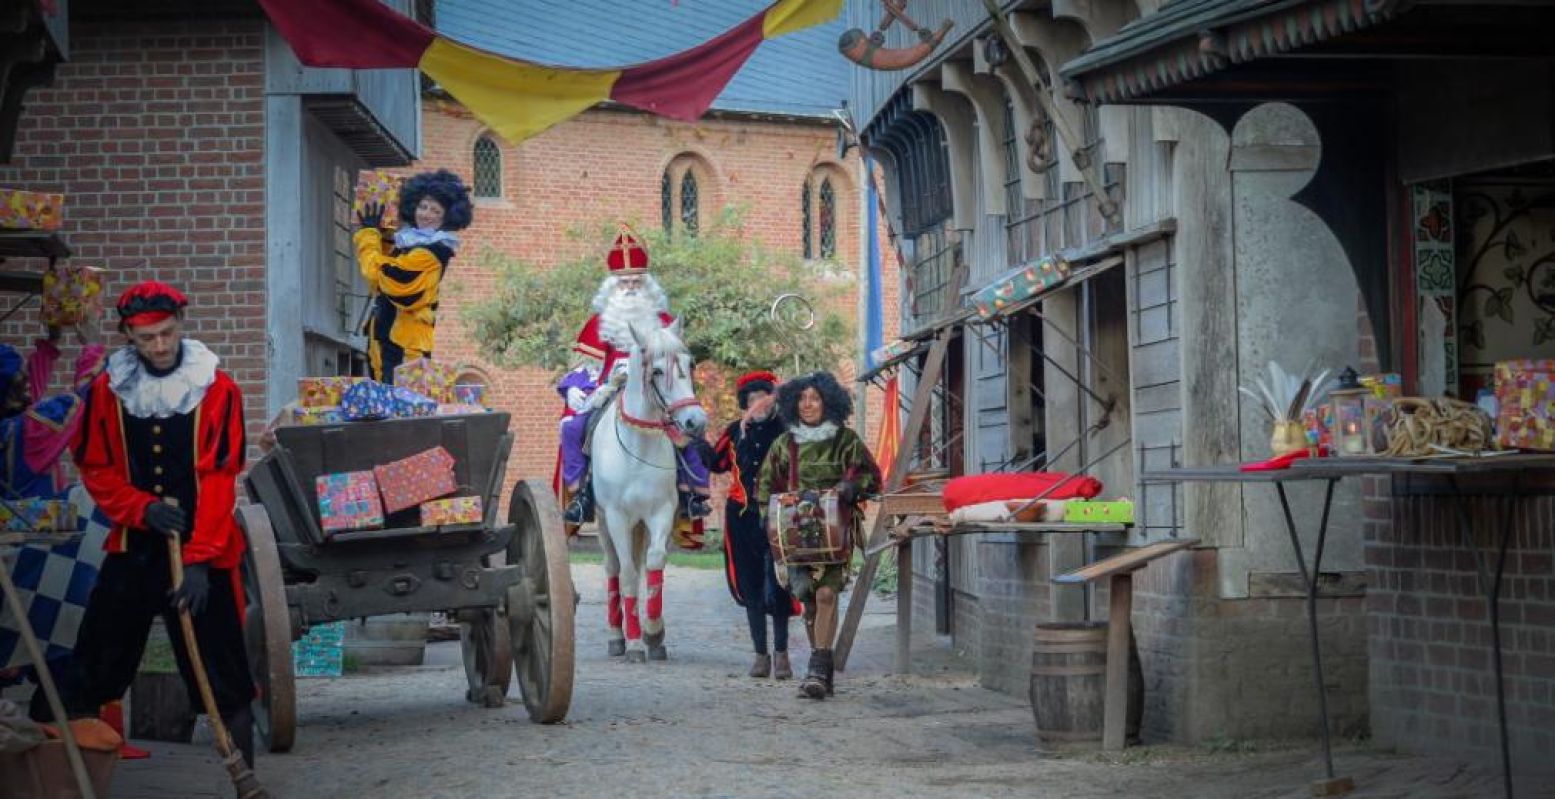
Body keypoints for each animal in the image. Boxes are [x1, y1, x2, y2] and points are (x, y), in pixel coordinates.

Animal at [587, 315, 705, 659]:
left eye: (690, 364)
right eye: (657, 371)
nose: (695, 421)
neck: (637, 448)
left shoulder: (661, 512)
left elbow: (654, 563)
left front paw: (654, 633)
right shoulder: (616, 517)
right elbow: (627, 573)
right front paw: (636, 643)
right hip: (603, 522)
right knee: (613, 568)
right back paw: (617, 636)